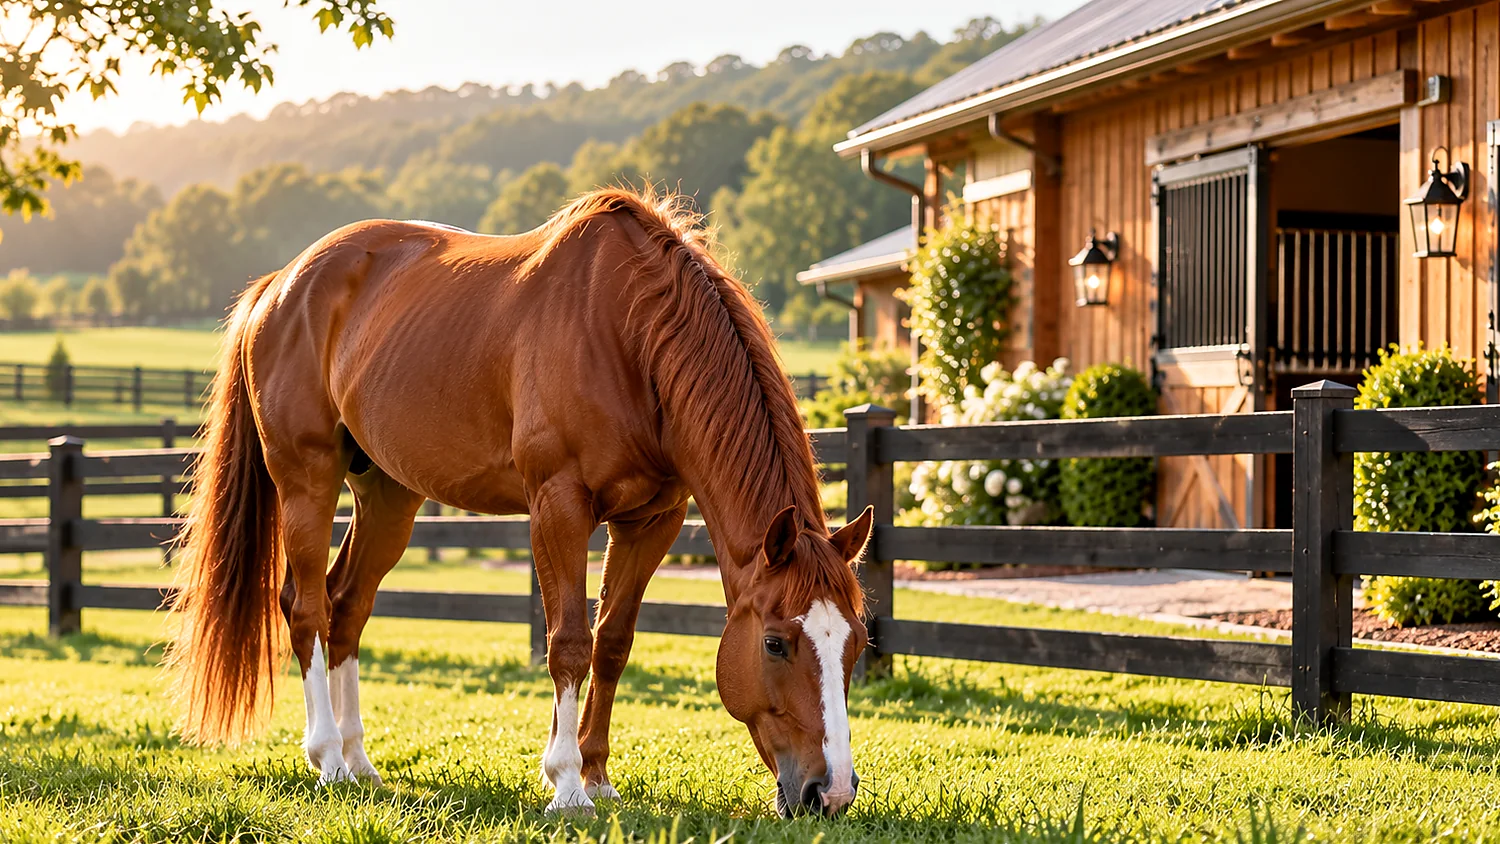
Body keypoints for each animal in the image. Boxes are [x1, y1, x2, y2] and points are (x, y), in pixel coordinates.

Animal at [165, 187, 874, 818]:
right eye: (776, 644)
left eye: (858, 643)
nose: (831, 792)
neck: (627, 333)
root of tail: (280, 285)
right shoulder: (559, 505)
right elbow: (568, 643)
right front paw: (565, 784)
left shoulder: (652, 520)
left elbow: (612, 642)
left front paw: (597, 776)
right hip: (306, 481)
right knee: (306, 607)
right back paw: (328, 759)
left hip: (388, 497)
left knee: (347, 606)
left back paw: (360, 759)